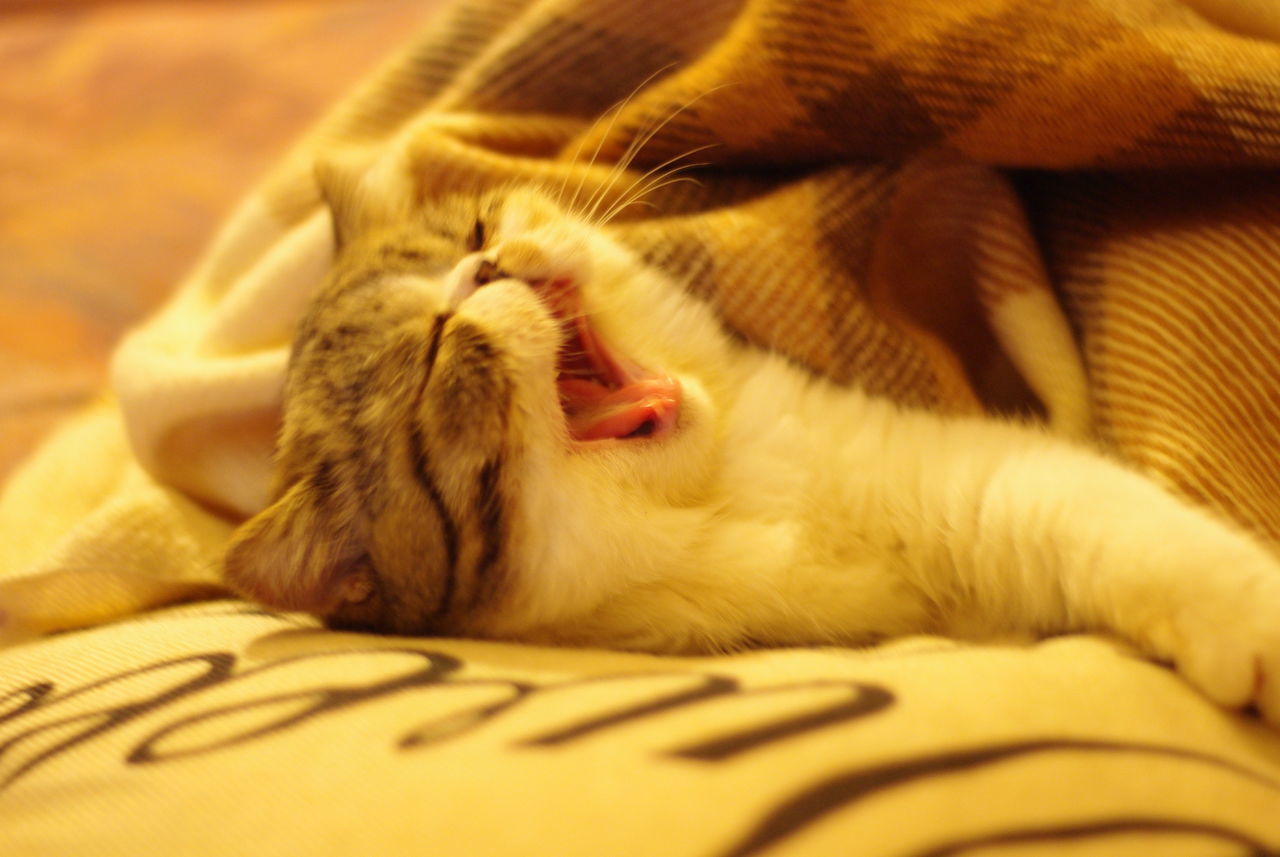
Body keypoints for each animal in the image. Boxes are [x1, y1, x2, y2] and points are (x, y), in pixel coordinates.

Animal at [220, 152, 1280, 726]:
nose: (489, 269)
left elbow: (1134, 530)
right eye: (438, 353)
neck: (740, 488)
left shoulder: (984, 476)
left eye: (475, 229)